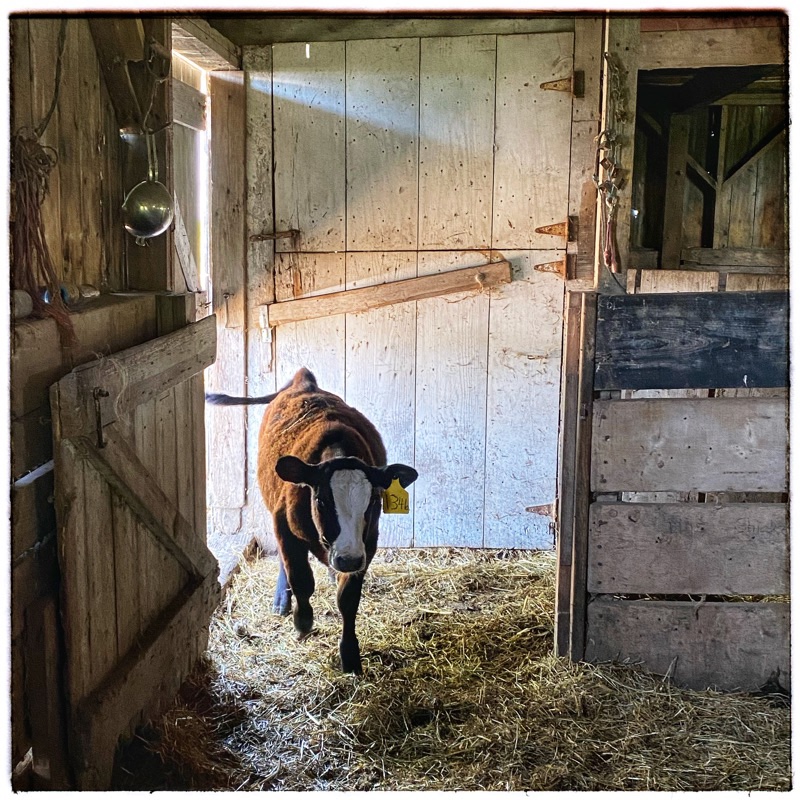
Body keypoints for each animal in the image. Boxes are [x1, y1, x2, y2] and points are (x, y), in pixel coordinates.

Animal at [206, 368, 418, 674]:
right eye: (321, 501)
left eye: (373, 502)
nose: (347, 559)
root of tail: (303, 379)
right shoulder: (285, 525)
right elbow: (301, 578)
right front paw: (302, 621)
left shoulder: (367, 543)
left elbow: (347, 599)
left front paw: (349, 653)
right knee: (287, 563)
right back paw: (283, 599)